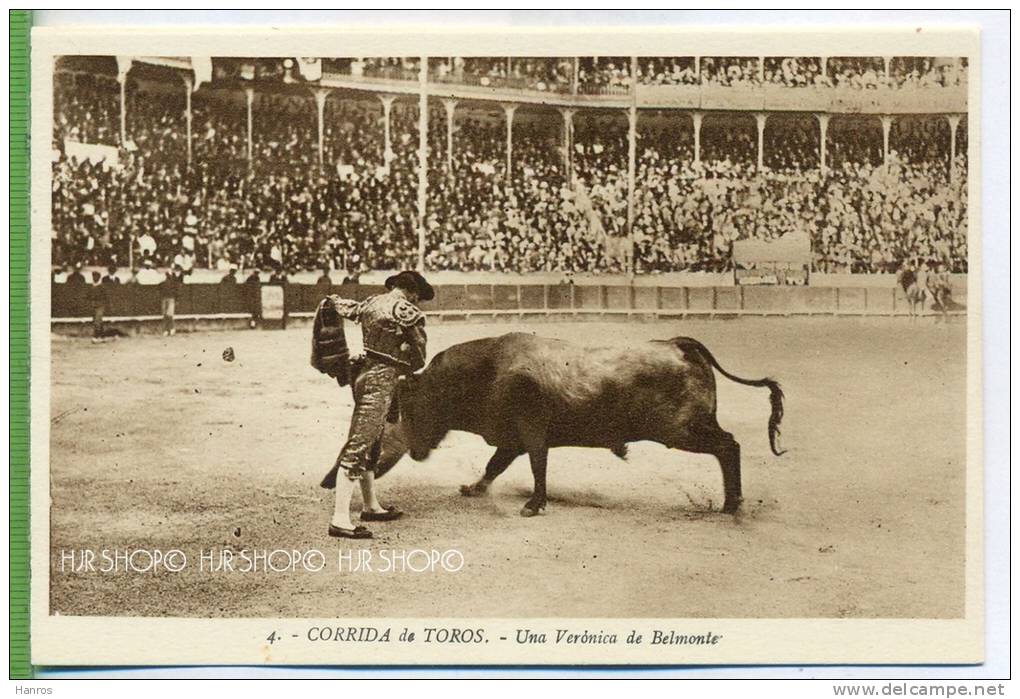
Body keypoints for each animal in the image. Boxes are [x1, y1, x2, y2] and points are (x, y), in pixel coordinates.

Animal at [387, 330, 779, 514]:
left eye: (412, 407)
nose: (414, 453)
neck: (488, 370)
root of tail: (678, 344)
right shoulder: (512, 439)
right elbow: (494, 466)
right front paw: (473, 489)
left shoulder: (531, 431)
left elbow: (537, 465)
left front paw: (533, 505)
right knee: (727, 446)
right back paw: (731, 502)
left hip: (682, 430)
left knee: (728, 446)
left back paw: (731, 504)